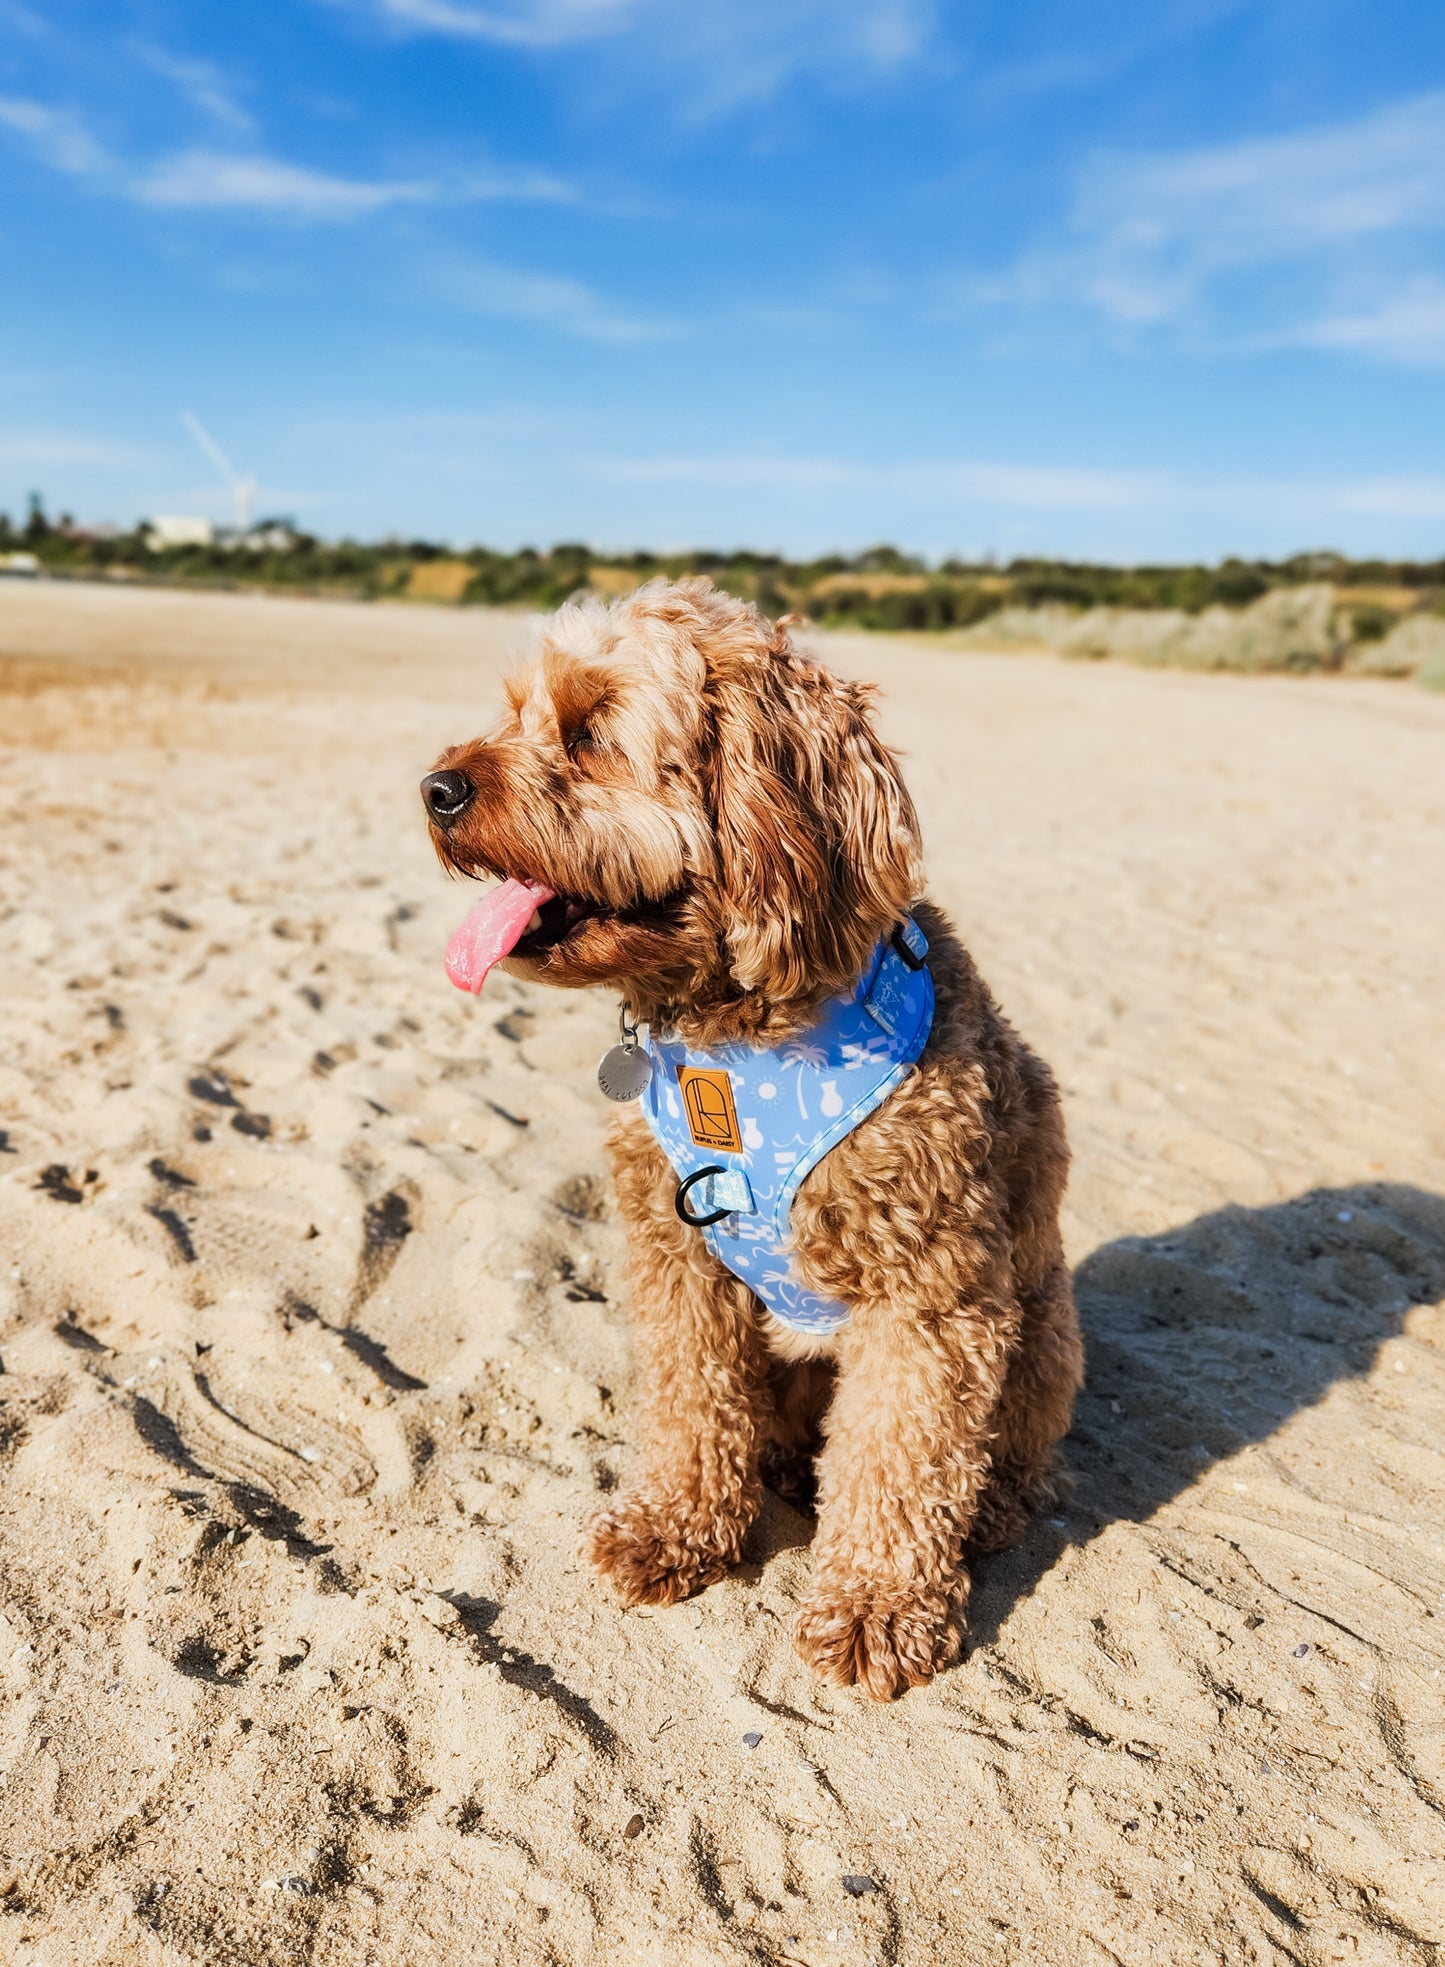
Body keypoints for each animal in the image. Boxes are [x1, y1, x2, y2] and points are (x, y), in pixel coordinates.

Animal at [424, 574, 1077, 1699]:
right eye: (515, 713)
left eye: (590, 731)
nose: (436, 788)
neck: (735, 1034)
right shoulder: (674, 1255)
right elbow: (693, 1402)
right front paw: (677, 1529)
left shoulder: (931, 1293)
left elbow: (901, 1455)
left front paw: (875, 1608)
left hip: (1040, 1327)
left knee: (1006, 1454)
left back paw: (989, 1508)